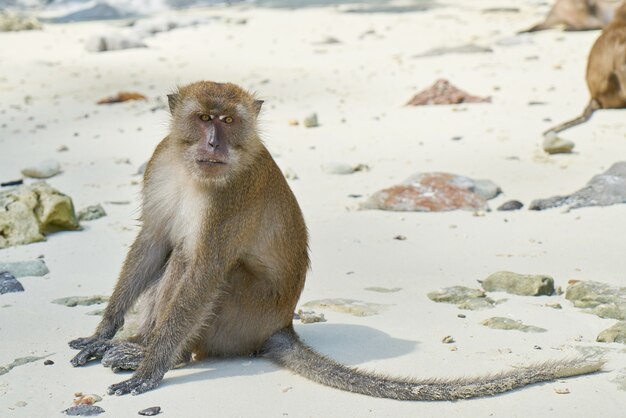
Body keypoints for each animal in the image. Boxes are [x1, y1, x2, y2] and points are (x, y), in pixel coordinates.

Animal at [67, 81, 600, 398]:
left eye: (229, 121)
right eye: (204, 118)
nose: (214, 144)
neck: (192, 170)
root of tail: (279, 326)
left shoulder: (232, 194)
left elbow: (203, 268)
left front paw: (152, 365)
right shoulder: (161, 162)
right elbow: (153, 240)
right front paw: (104, 333)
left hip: (239, 315)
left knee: (201, 267)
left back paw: (159, 352)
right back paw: (135, 342)